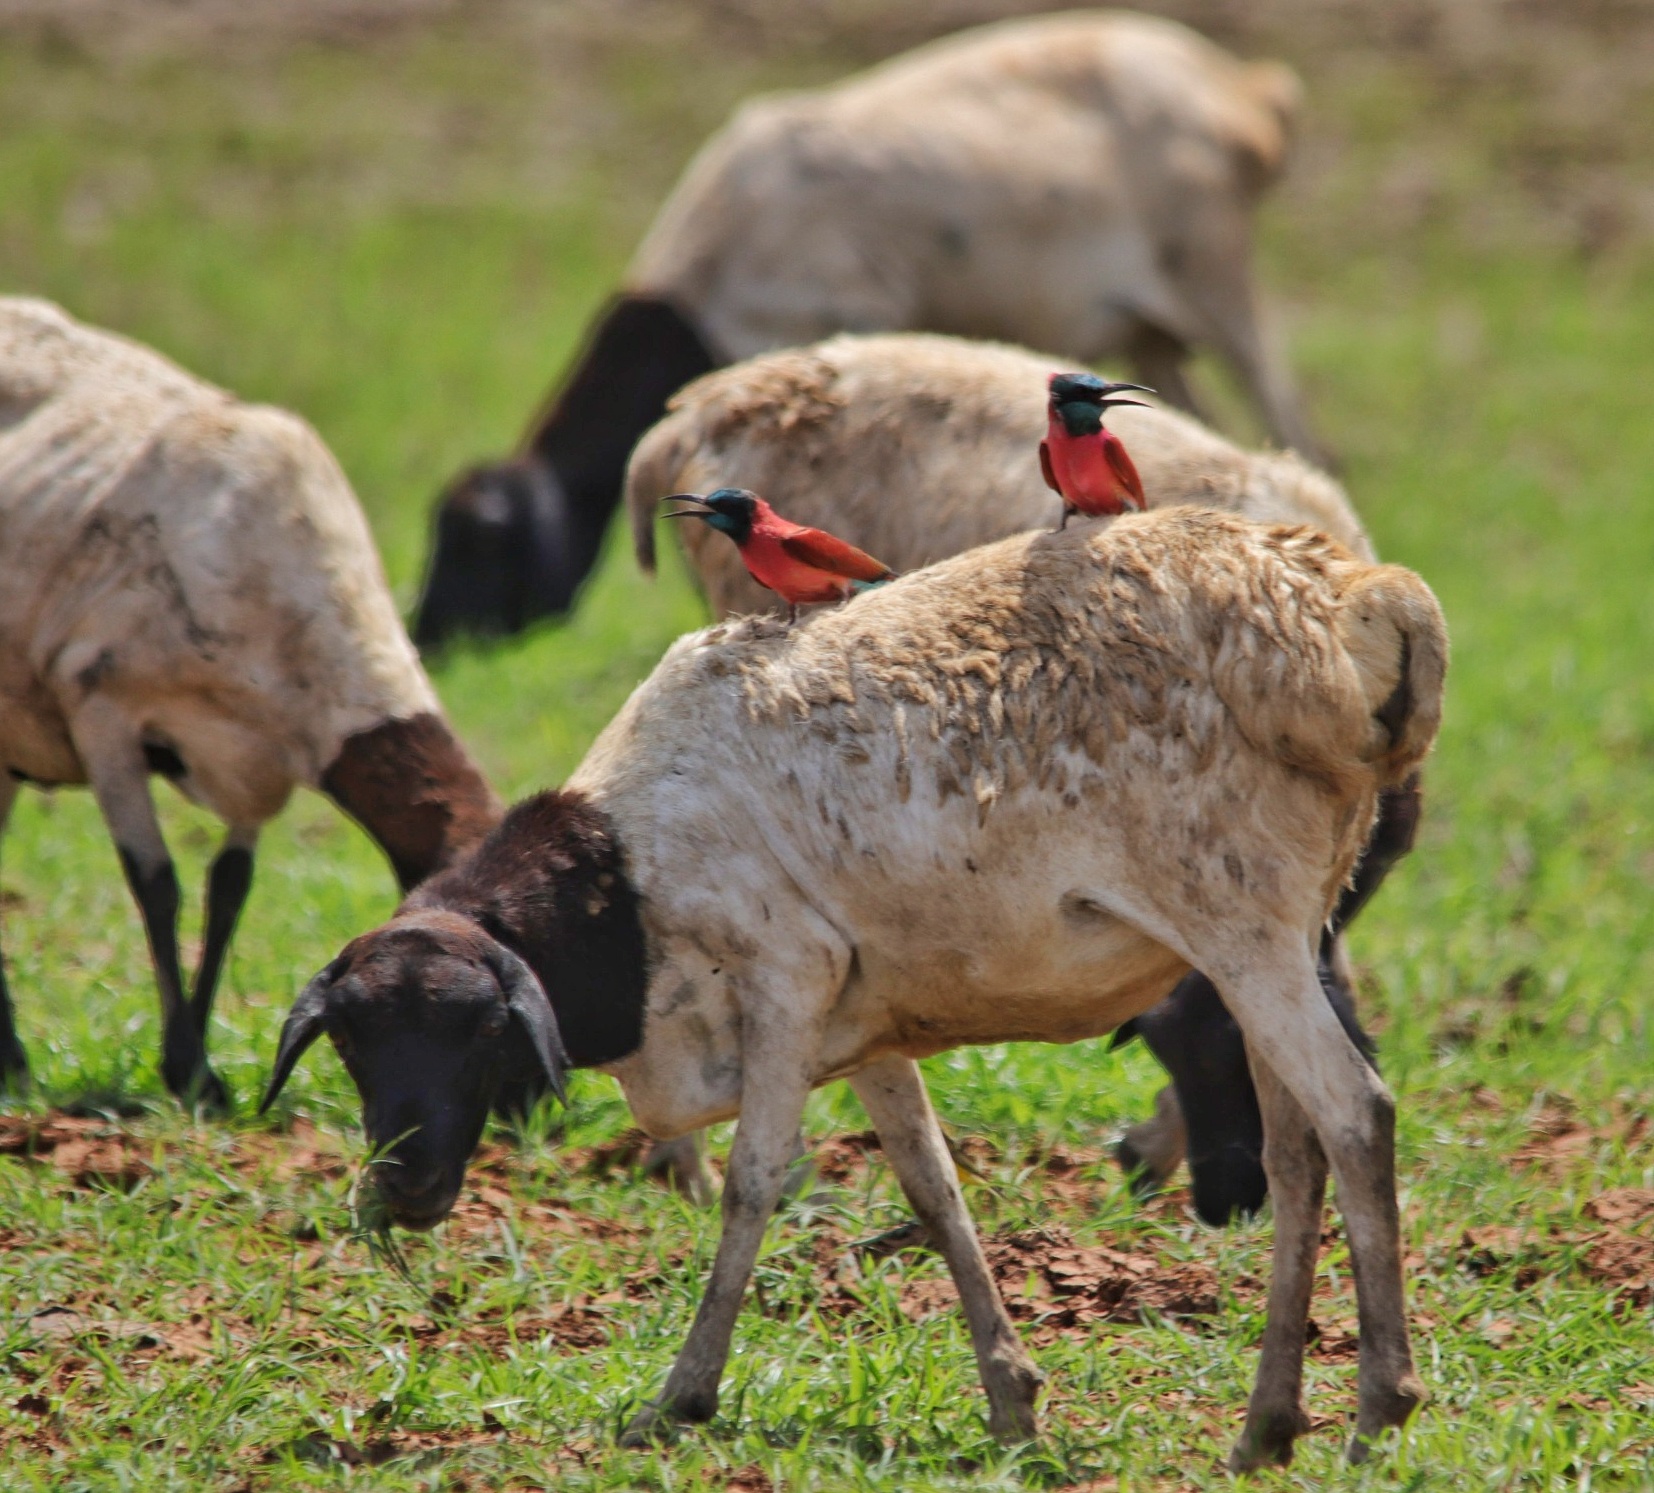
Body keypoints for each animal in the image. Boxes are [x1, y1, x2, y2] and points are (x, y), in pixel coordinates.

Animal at [0, 297, 501, 1110]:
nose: (529, 1117)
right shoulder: (102, 709)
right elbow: (158, 885)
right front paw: (189, 1070)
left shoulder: (260, 765)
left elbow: (228, 891)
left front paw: (199, 1069)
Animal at [265, 508, 1446, 1467]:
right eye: (352, 1041)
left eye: (477, 1032)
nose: (404, 1185)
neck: (623, 879)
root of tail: (1351, 601)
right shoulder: (869, 1029)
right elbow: (935, 1190)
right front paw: (1012, 1400)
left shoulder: (786, 980)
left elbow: (752, 1183)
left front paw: (680, 1398)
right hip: (1275, 938)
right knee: (1295, 1155)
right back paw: (1267, 1424)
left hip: (1240, 926)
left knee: (1356, 1114)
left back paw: (1376, 1406)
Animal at [416, 9, 1314, 645]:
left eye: (482, 543)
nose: (431, 641)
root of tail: (1243, 86)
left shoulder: (842, 316)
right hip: (1151, 323)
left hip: (1216, 268)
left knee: (1294, 419)